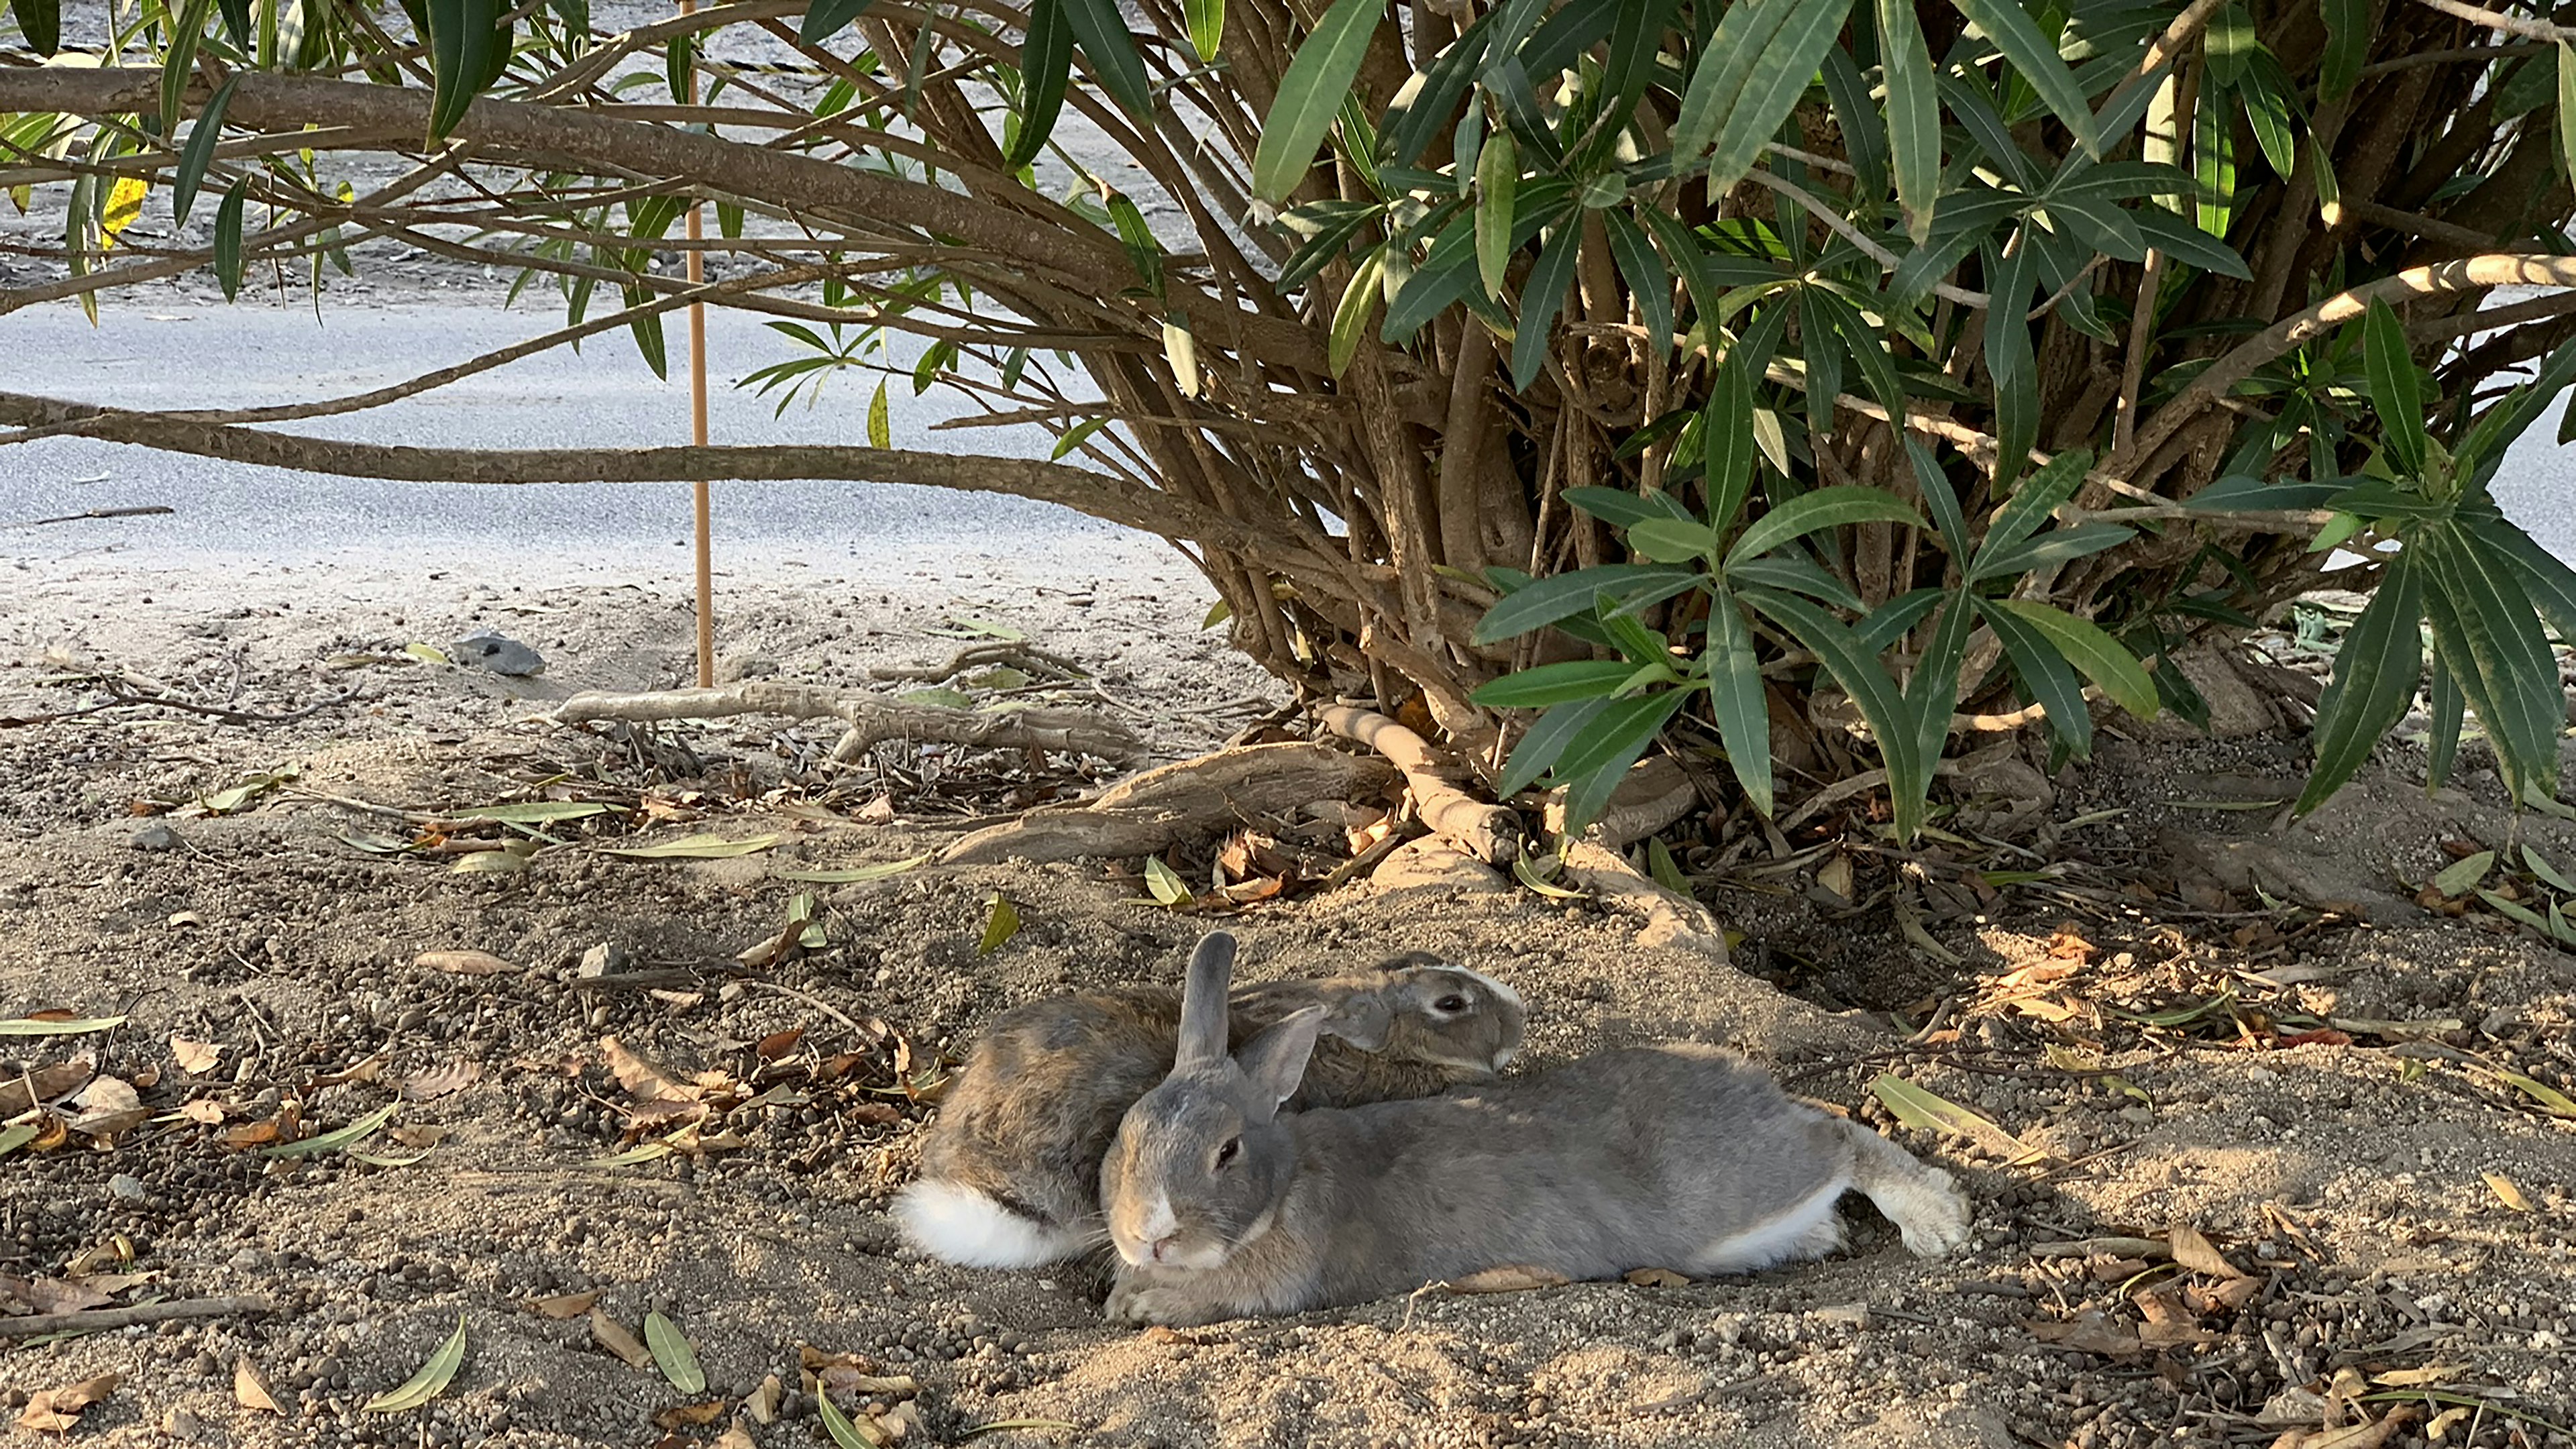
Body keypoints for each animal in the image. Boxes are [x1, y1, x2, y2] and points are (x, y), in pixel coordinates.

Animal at [1092, 938, 1968, 1320]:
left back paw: (1939, 1222)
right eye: (1122, 1143)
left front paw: (1139, 1306)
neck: (1283, 1191)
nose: (1150, 1237)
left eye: (1227, 1152)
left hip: (1730, 1192)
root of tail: (1750, 1083)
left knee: (1839, 1137)